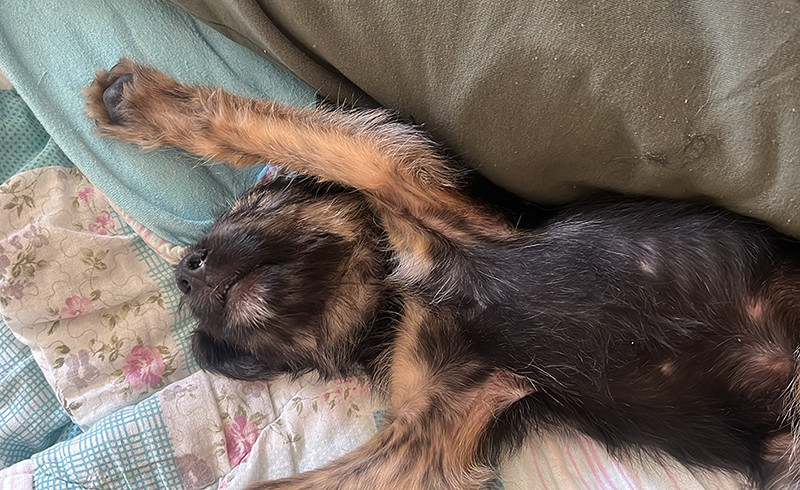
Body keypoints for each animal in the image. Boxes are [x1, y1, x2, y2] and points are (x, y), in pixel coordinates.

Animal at [84, 59, 800, 489]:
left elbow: (266, 130)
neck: (397, 293)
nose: (187, 271)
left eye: (247, 208)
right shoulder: (429, 429)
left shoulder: (398, 179)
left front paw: (138, 104)